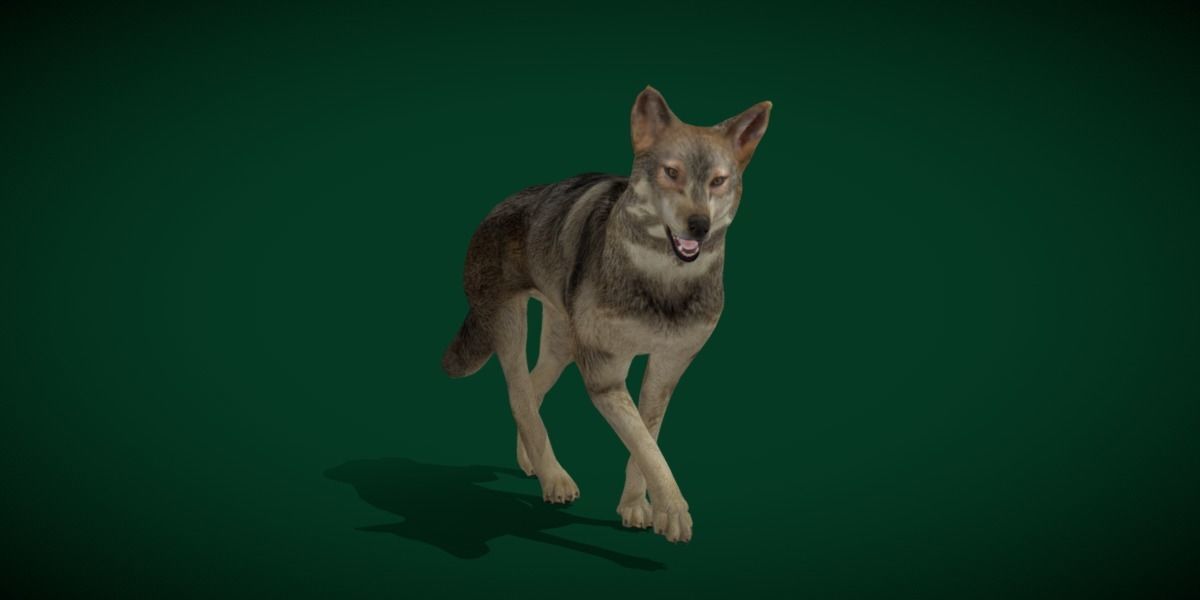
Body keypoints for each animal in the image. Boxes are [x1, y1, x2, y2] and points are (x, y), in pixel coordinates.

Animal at [442, 86, 771, 543]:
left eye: (718, 181)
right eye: (671, 173)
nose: (699, 226)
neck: (662, 282)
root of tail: (494, 209)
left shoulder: (668, 365)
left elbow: (646, 438)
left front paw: (637, 506)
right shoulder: (604, 374)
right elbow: (647, 447)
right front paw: (672, 510)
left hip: (562, 344)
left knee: (531, 390)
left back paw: (530, 461)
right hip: (511, 327)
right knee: (519, 393)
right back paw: (555, 478)